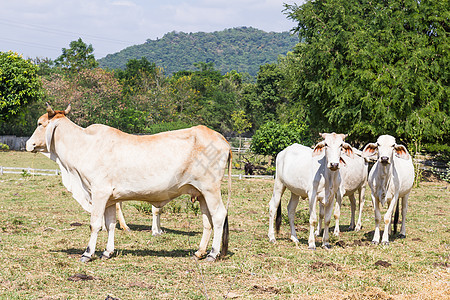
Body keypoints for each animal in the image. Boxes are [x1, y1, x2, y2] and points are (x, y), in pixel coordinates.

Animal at [25, 103, 230, 262]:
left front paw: (88, 253)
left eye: (40, 123)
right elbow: (110, 224)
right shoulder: (110, 198)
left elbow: (95, 223)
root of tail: (223, 140)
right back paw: (199, 252)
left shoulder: (99, 192)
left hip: (211, 189)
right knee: (207, 220)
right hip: (200, 193)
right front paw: (107, 252)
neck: (85, 145)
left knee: (219, 215)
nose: (28, 144)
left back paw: (212, 254)